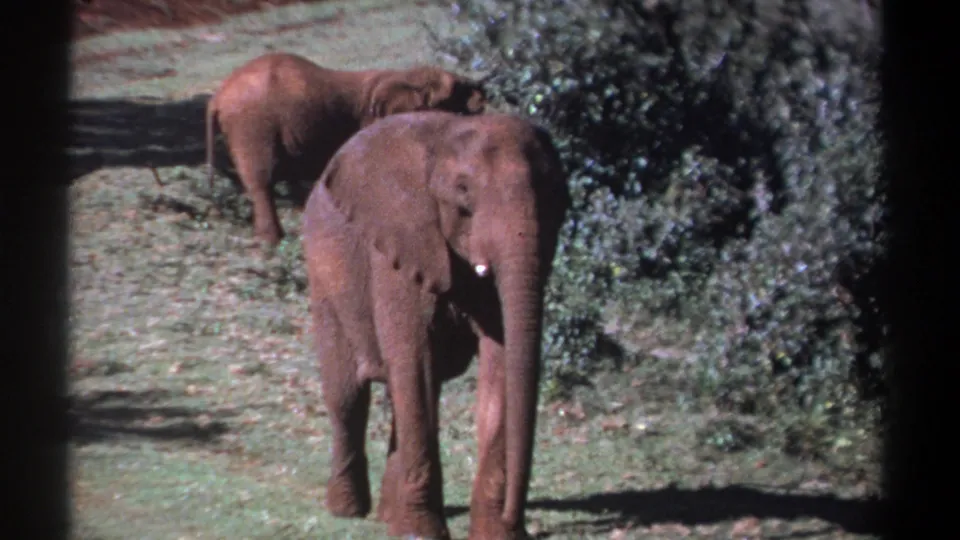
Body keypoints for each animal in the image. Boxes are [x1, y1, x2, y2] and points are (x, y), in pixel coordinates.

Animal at [205, 52, 487, 247]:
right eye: (454, 93)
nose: (482, 91)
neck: (403, 76)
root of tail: (217, 97)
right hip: (251, 125)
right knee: (261, 182)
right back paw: (272, 243)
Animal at [302, 111, 571, 539]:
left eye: (554, 198)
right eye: (463, 194)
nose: (518, 521)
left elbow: (501, 365)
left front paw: (495, 533)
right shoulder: (400, 249)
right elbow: (415, 362)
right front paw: (420, 533)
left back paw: (387, 516)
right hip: (323, 274)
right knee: (348, 396)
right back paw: (347, 511)